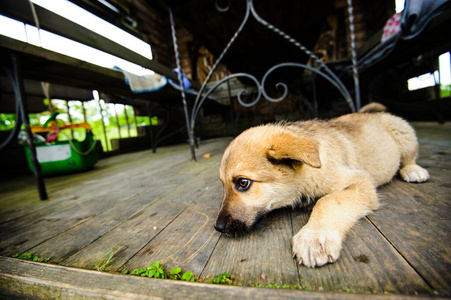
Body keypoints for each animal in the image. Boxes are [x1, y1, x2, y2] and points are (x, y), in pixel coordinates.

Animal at [214, 103, 430, 268]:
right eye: (223, 184)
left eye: (243, 183)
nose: (218, 227)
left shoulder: (359, 181)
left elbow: (329, 201)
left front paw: (315, 236)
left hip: (405, 134)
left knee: (410, 158)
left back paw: (413, 170)